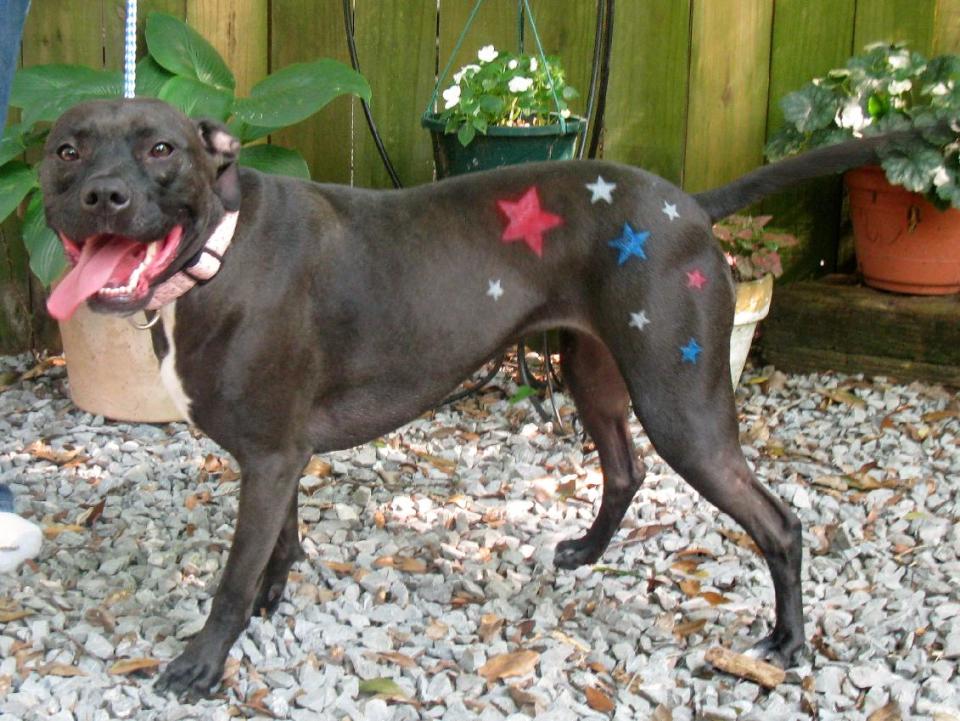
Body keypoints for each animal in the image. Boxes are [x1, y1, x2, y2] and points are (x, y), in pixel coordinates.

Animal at [37, 100, 908, 696]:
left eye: (160, 147)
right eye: (66, 148)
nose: (104, 196)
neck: (218, 247)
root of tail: (689, 204)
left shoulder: (272, 455)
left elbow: (231, 577)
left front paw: (202, 663)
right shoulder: (277, 458)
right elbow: (275, 548)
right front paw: (268, 604)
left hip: (683, 406)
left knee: (779, 522)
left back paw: (788, 641)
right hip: (594, 376)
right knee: (624, 472)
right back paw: (585, 553)